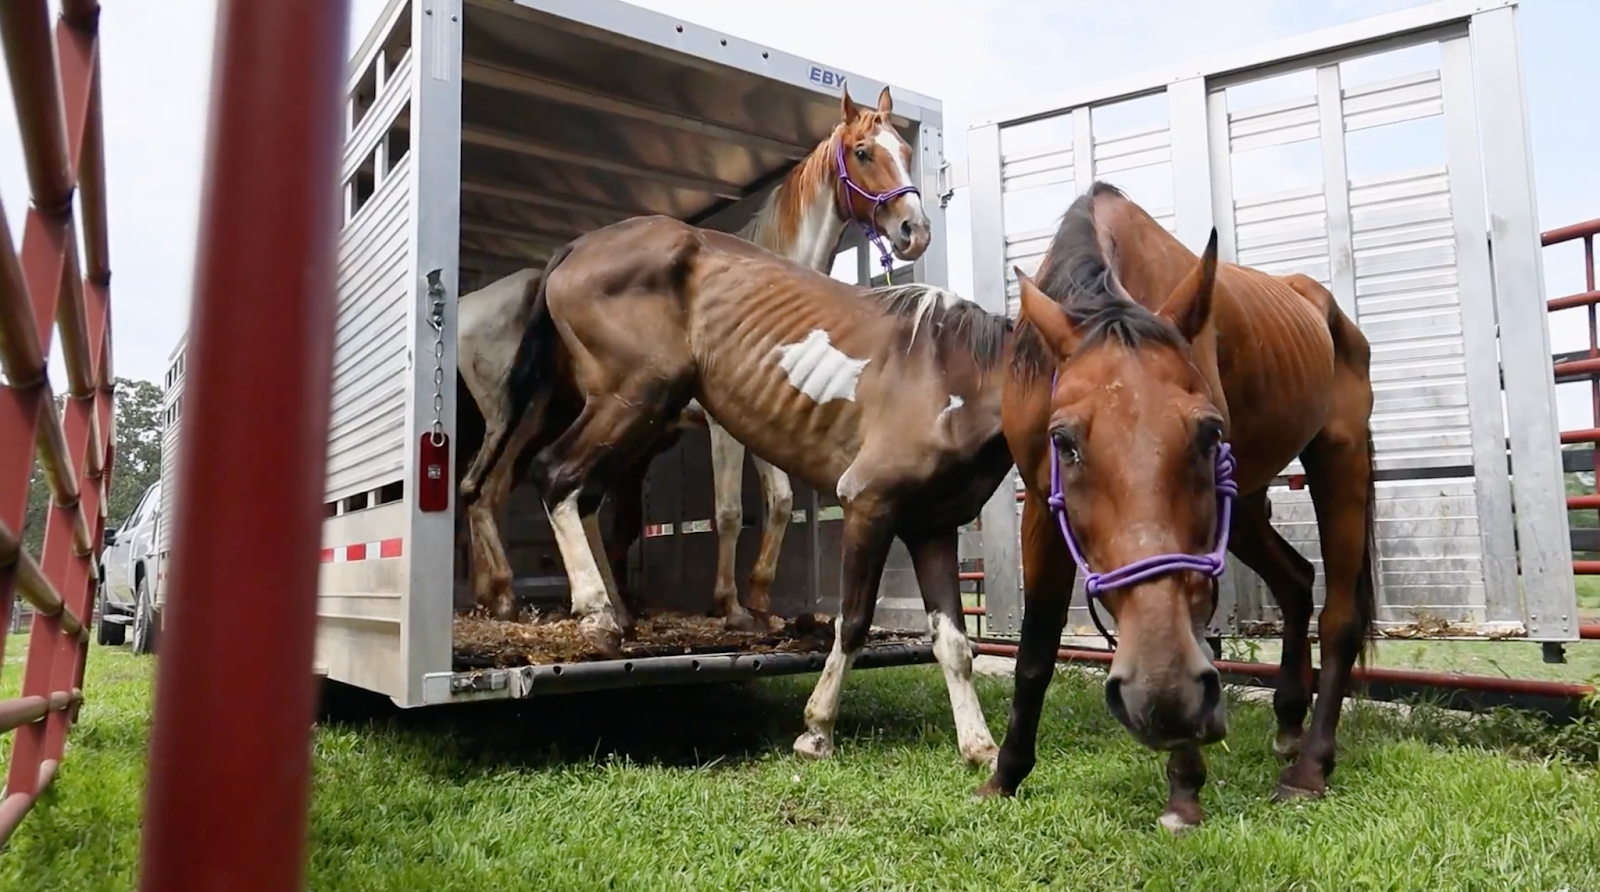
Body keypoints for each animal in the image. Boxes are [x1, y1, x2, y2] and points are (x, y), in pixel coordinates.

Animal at [455, 85, 932, 630]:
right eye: (863, 152)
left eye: (905, 150)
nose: (914, 231)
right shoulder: (723, 430)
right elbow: (728, 511)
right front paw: (731, 605)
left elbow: (780, 501)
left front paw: (760, 598)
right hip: (528, 419)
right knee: (492, 491)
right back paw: (514, 595)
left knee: (508, 492)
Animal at [465, 214, 1017, 767]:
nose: (911, 230)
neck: (952, 373)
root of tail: (579, 245)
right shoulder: (867, 504)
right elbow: (852, 621)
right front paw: (816, 731)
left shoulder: (931, 527)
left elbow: (954, 640)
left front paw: (980, 746)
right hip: (630, 396)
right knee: (552, 476)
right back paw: (593, 613)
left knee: (566, 494)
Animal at [975, 182, 1377, 832]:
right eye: (1066, 442)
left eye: (1208, 433)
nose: (1159, 698)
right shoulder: (1041, 500)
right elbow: (1035, 650)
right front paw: (1005, 776)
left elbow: (1191, 624)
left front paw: (1184, 789)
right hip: (1247, 505)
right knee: (1295, 579)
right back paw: (1288, 723)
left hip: (1337, 459)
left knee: (1339, 614)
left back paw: (1309, 767)